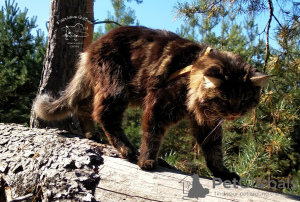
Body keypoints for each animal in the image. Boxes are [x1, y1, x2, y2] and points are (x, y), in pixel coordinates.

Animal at [33, 25, 270, 181]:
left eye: (244, 99)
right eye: (225, 99)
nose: (233, 113)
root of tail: (90, 48)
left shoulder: (207, 124)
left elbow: (214, 151)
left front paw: (222, 173)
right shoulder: (158, 105)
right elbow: (152, 136)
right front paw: (146, 160)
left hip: (101, 88)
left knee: (84, 108)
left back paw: (91, 134)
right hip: (115, 87)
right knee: (104, 115)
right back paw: (127, 149)